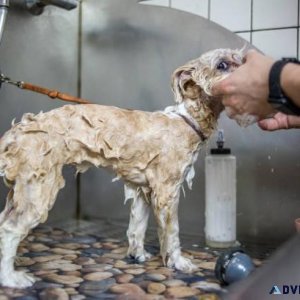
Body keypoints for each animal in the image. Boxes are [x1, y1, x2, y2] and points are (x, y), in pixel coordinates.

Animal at [0, 48, 244, 288]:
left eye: (240, 59)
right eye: (222, 65)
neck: (186, 120)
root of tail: (17, 131)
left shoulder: (143, 191)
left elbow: (137, 227)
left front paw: (138, 255)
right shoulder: (167, 191)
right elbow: (172, 232)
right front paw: (178, 262)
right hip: (39, 187)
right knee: (9, 229)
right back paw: (11, 278)